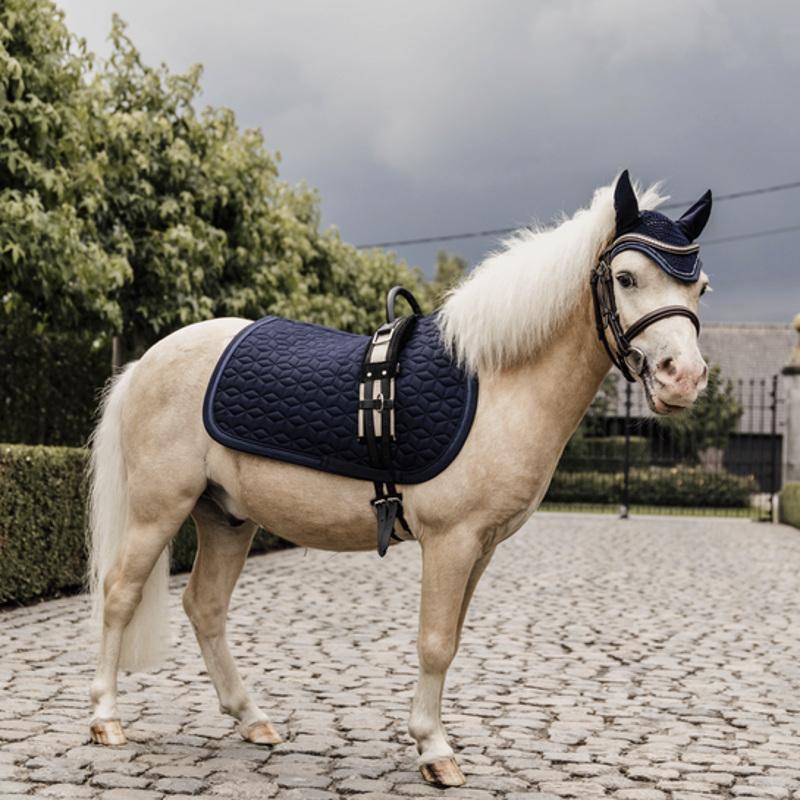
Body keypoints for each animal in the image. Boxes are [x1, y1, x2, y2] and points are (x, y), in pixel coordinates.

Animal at [87, 170, 712, 786]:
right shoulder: (451, 542)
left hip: (227, 518)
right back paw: (106, 719)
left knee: (206, 606)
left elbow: (452, 640)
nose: (682, 378)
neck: (498, 385)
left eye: (700, 288)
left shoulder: (481, 547)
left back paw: (252, 719)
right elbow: (434, 644)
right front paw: (434, 751)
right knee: (119, 593)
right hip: (159, 508)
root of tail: (146, 362)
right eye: (626, 277)